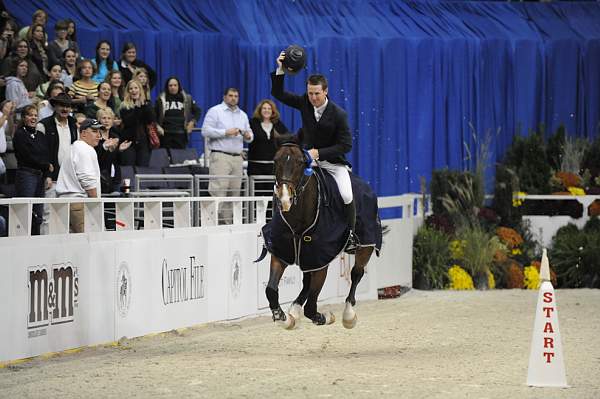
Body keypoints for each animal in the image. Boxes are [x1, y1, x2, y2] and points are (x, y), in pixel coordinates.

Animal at [260, 142, 382, 330]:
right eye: (275, 160)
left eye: (300, 162)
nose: (285, 199)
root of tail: (367, 186)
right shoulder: (283, 252)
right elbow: (271, 290)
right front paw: (284, 318)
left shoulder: (321, 259)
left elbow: (311, 307)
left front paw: (325, 317)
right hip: (307, 256)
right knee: (306, 282)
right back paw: (294, 309)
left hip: (366, 244)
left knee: (357, 273)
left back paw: (348, 315)